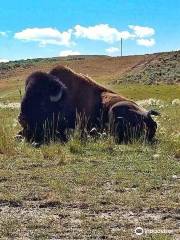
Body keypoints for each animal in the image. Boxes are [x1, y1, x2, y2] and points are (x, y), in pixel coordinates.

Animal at [17, 64, 160, 145]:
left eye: (42, 102)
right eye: (25, 94)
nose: (22, 119)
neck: (63, 99)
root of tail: (148, 115)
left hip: (115, 109)